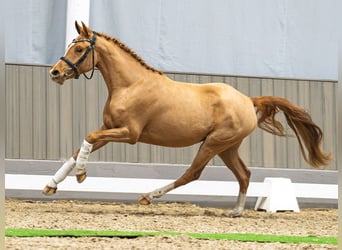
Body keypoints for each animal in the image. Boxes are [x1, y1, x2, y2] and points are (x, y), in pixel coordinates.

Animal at [42, 21, 328, 217]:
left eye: (79, 48)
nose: (54, 72)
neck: (130, 85)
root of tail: (248, 101)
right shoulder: (109, 128)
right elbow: (80, 148)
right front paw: (50, 186)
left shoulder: (129, 133)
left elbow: (87, 138)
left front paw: (81, 175)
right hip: (227, 147)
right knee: (244, 174)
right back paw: (235, 212)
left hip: (213, 144)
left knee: (192, 173)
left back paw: (148, 197)